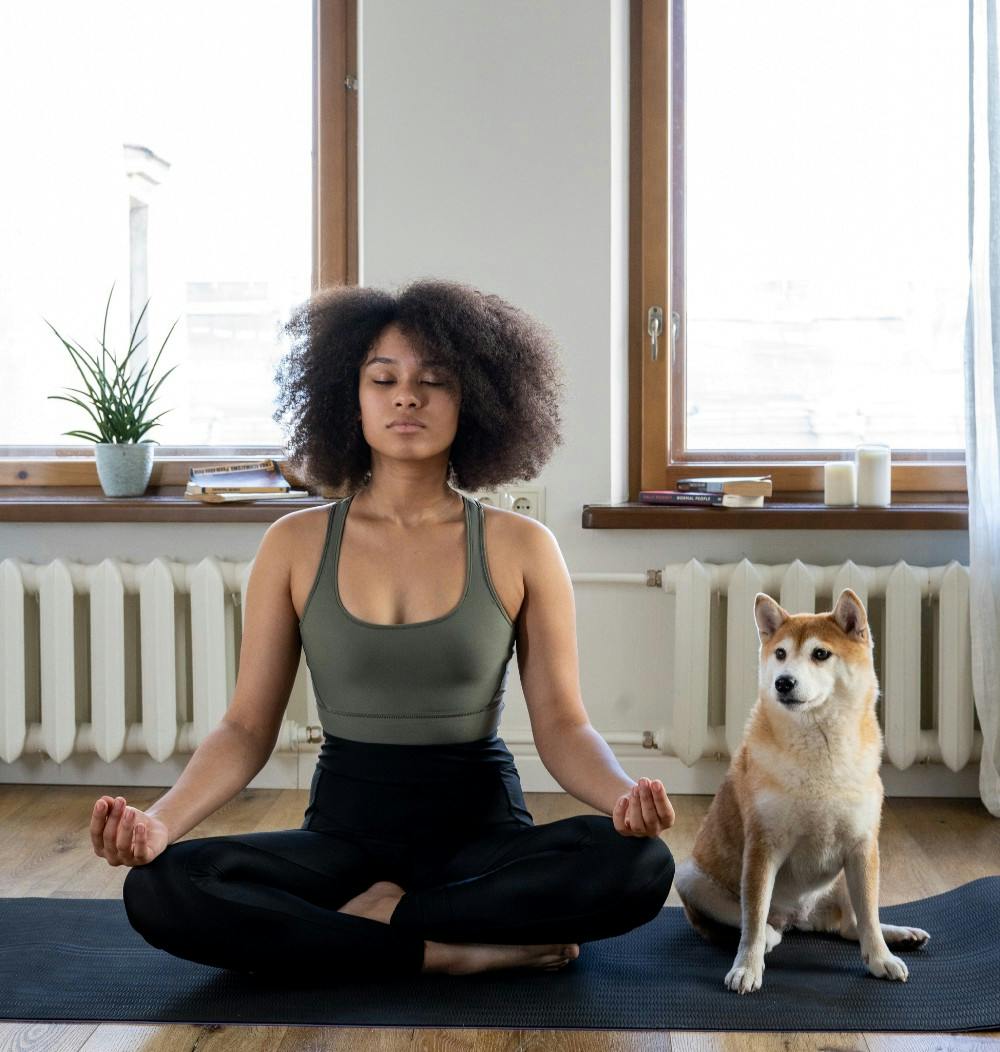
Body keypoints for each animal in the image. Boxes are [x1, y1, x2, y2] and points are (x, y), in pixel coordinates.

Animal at [672, 593, 929, 993]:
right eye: (780, 653)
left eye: (820, 654)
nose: (783, 682)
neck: (819, 752)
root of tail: (800, 918)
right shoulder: (762, 847)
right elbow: (753, 918)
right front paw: (747, 967)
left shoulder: (862, 846)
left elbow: (869, 917)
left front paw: (881, 958)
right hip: (690, 875)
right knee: (755, 925)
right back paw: (770, 936)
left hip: (844, 879)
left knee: (851, 924)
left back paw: (900, 935)